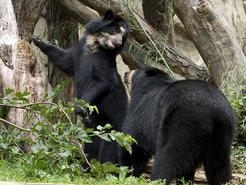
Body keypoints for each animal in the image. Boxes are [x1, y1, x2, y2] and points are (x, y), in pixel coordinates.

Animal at [31, 10, 130, 163]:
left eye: (123, 36)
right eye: (115, 30)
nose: (118, 42)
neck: (96, 46)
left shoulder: (104, 63)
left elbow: (103, 83)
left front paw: (79, 107)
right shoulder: (79, 50)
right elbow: (64, 60)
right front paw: (37, 40)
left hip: (113, 129)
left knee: (109, 149)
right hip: (94, 128)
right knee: (92, 144)